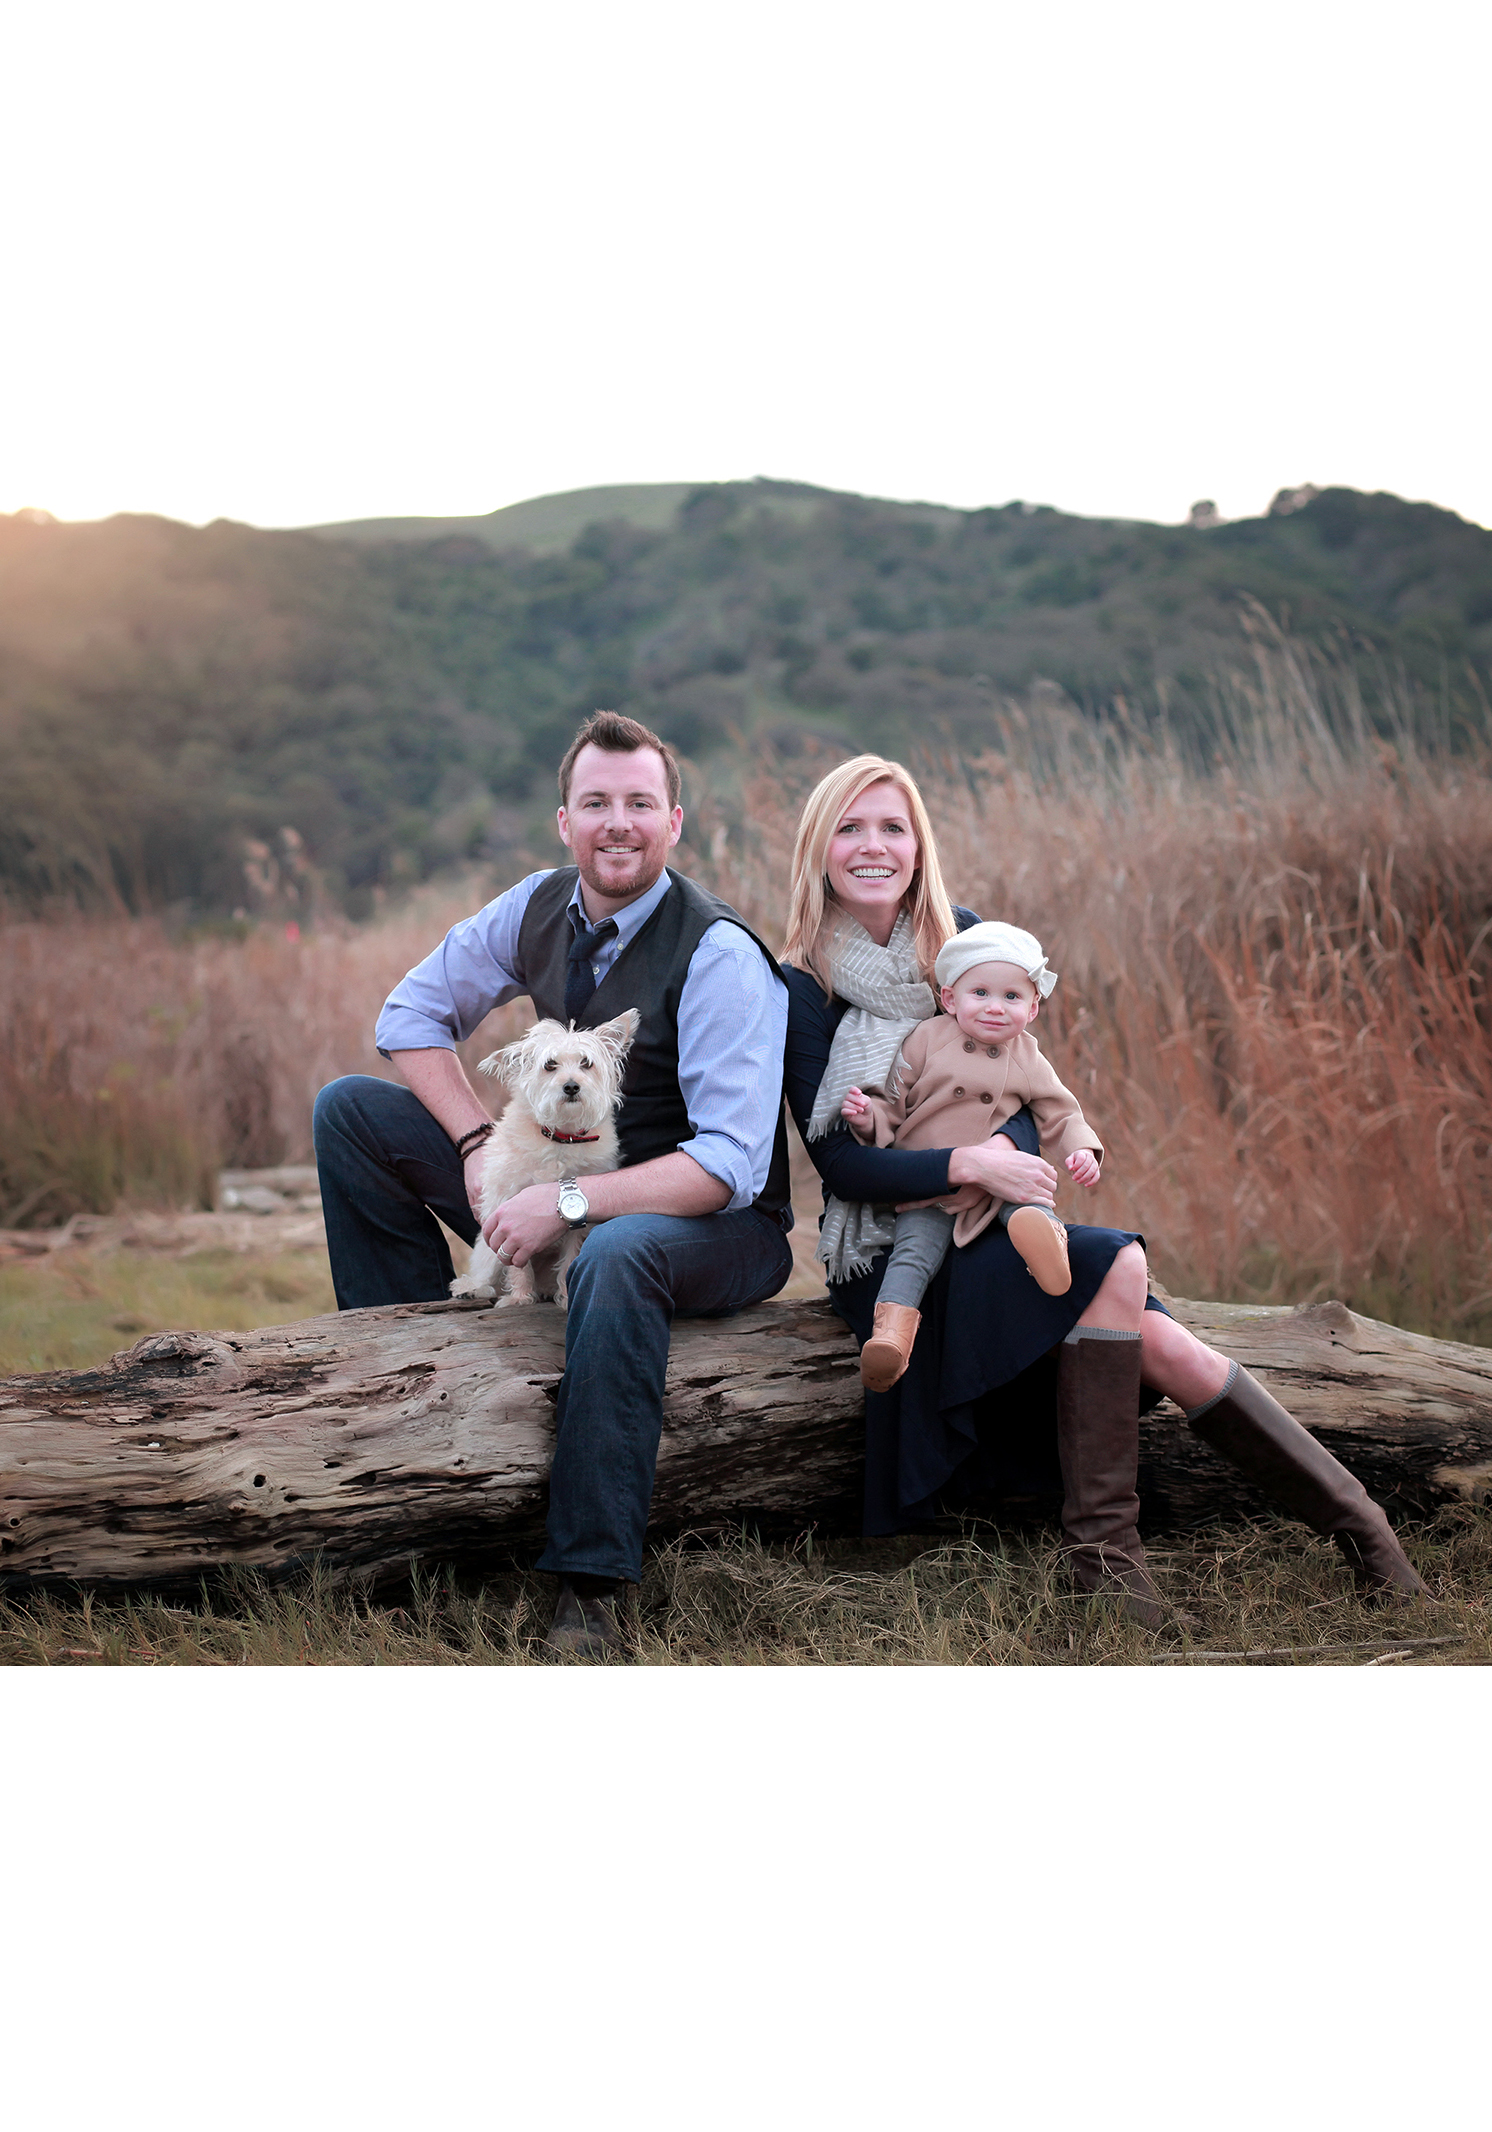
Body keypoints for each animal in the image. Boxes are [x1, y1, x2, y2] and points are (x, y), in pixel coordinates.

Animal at [453, 1006, 639, 1304]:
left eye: (586, 1063)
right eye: (550, 1065)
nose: (572, 1086)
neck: (563, 1136)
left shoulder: (577, 1223)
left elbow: (571, 1257)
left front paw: (566, 1295)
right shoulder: (507, 1207)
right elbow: (515, 1263)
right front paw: (519, 1297)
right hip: (488, 1242)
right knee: (488, 1271)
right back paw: (472, 1288)